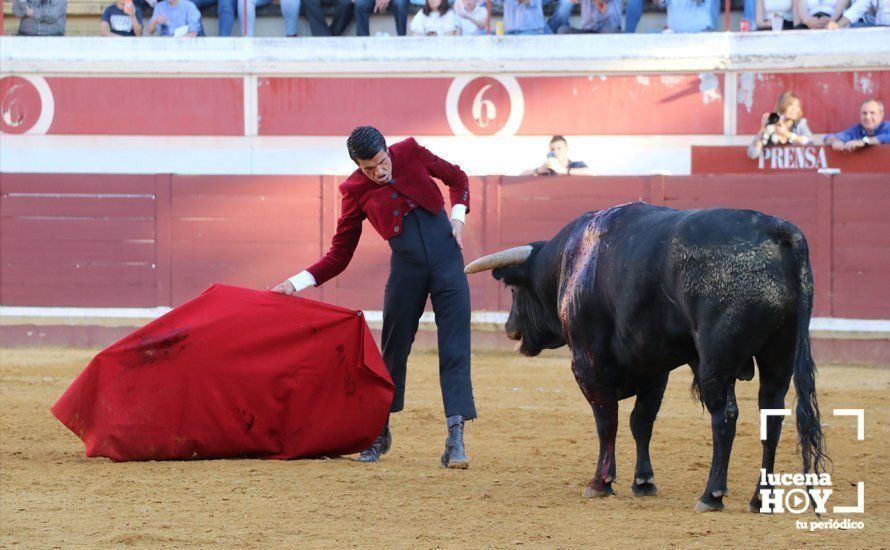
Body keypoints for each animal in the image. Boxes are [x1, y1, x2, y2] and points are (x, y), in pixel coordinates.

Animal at [464, 202, 824, 512]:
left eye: (514, 290)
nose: (509, 327)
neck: (572, 261)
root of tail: (778, 231)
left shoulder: (587, 361)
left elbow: (606, 420)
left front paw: (600, 483)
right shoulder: (655, 368)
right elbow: (641, 421)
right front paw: (643, 482)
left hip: (717, 358)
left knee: (725, 414)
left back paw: (712, 495)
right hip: (780, 354)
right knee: (771, 414)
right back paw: (760, 499)